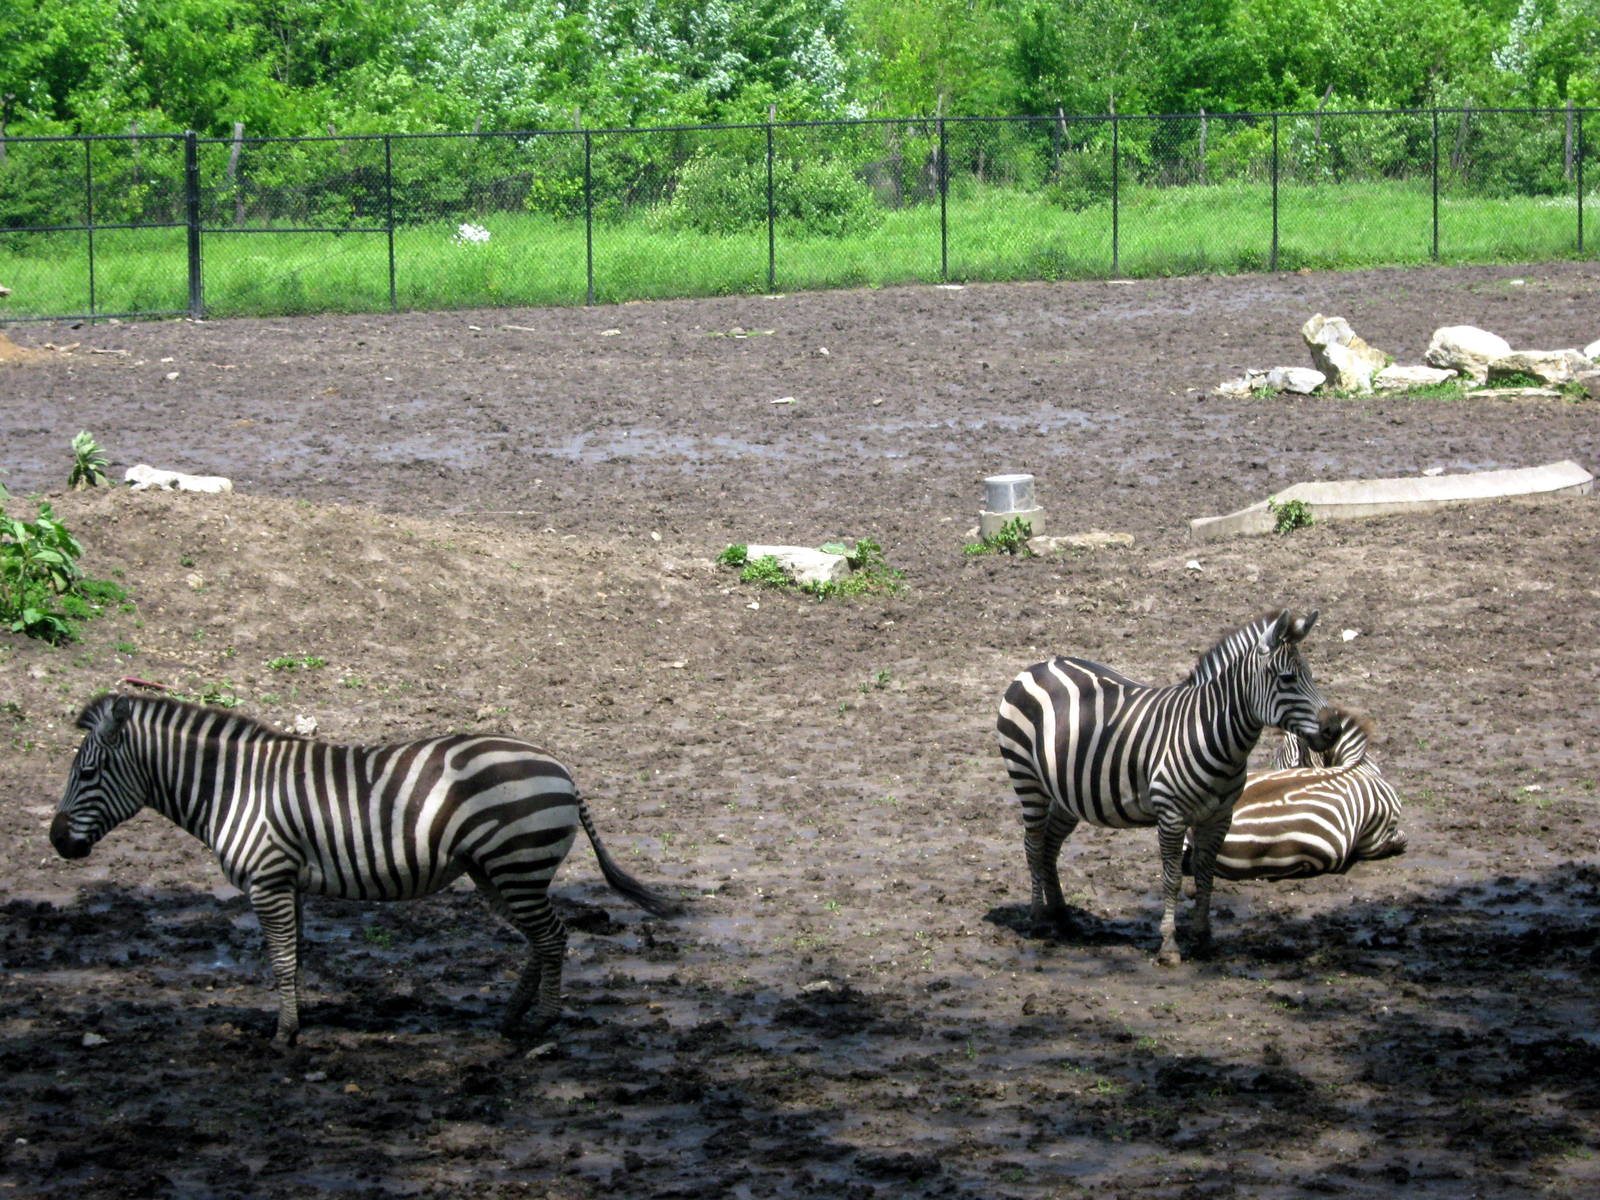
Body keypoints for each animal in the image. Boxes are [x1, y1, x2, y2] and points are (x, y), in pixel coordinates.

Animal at [49, 692, 676, 1046]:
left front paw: (282, 1035)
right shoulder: (287, 880)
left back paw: (541, 1023)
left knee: (552, 936)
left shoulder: (267, 878)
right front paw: (298, 1019)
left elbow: (280, 958)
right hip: (495, 871)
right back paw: (511, 1016)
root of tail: (562, 770)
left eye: (87, 774)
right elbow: (296, 956)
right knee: (540, 938)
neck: (234, 789)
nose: (57, 842)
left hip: (515, 864)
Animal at [995, 609, 1334, 966]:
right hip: (1027, 779)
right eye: (1286, 679)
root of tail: (1040, 665)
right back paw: (1038, 919)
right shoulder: (1171, 816)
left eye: (1310, 675)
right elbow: (1172, 880)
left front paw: (1203, 937)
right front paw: (1170, 945)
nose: (1333, 729)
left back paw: (1061, 916)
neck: (1210, 732)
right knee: (1033, 845)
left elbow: (1205, 874)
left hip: (1067, 792)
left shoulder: (1219, 816)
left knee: (1049, 845)